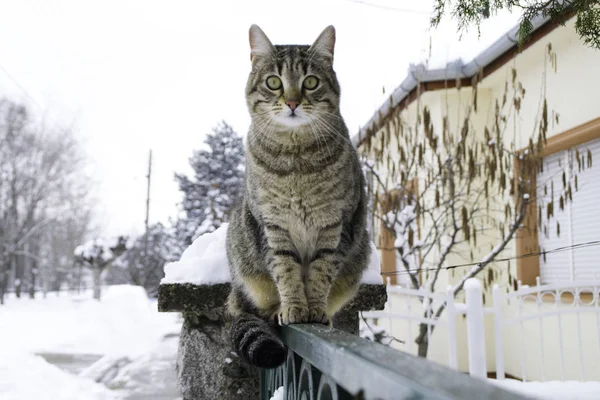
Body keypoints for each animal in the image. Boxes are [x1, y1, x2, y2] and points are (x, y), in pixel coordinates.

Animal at [225, 24, 368, 368]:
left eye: (310, 82)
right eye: (274, 82)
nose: (291, 102)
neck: (295, 157)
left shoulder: (336, 225)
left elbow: (320, 271)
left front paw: (314, 309)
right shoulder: (272, 226)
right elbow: (286, 270)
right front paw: (293, 307)